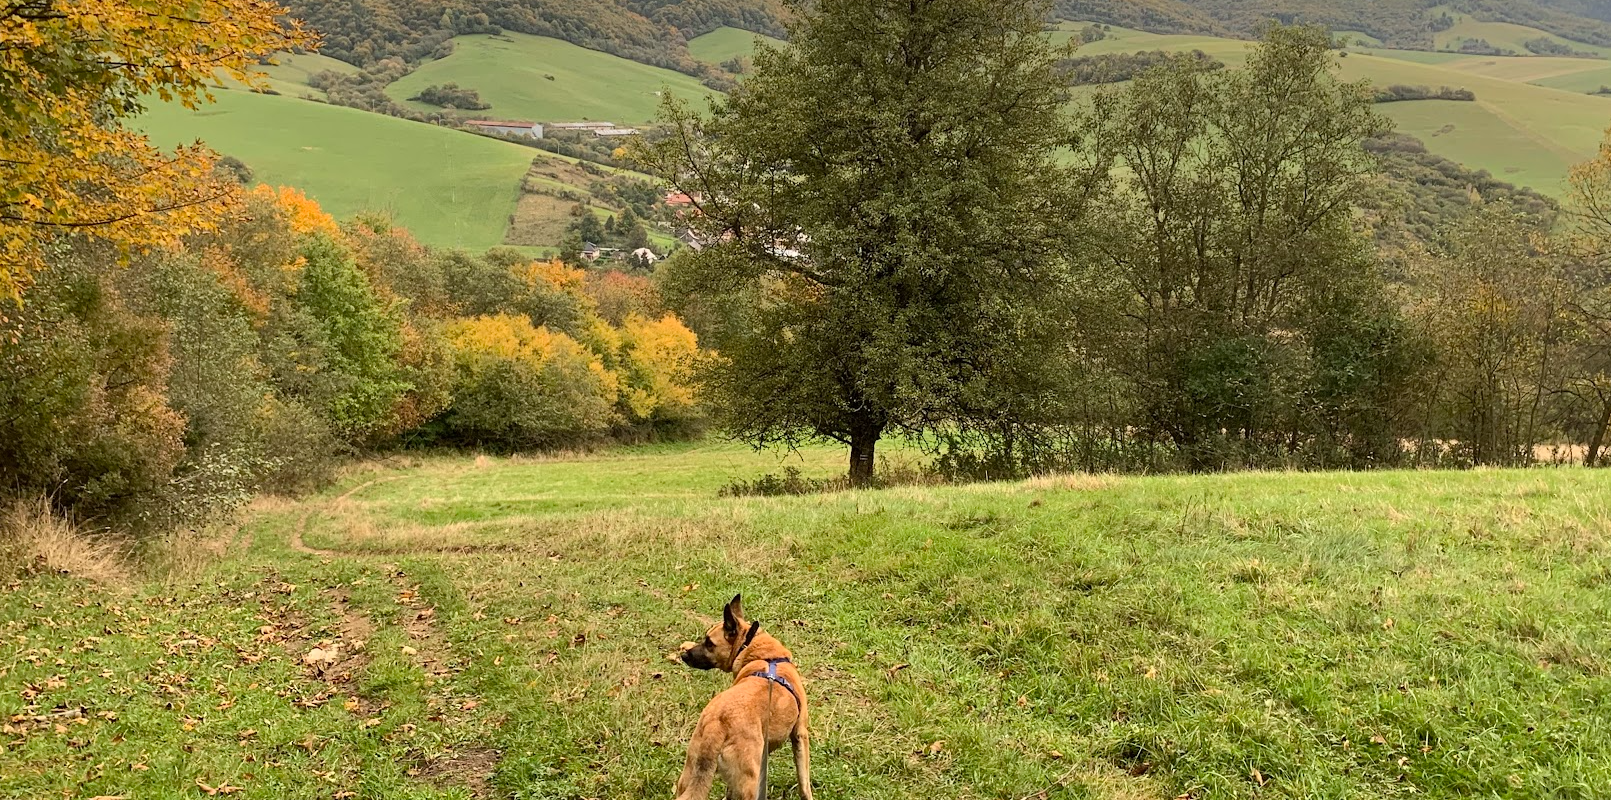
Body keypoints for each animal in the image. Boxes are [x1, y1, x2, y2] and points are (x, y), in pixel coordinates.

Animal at [673, 592, 811, 798]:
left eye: (708, 642)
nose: (684, 655)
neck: (764, 656)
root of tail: (717, 725)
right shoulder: (800, 734)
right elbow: (804, 782)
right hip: (749, 783)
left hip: (689, 771)